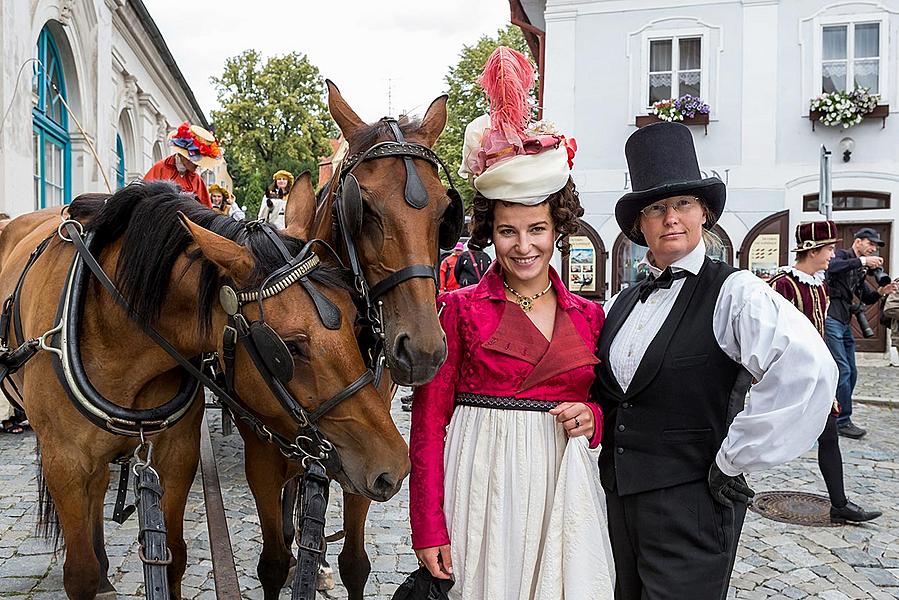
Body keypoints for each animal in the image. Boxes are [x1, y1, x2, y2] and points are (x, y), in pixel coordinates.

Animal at [0, 183, 408, 600]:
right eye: (290, 348)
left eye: (356, 318)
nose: (395, 466)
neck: (111, 328)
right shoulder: (66, 463)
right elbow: (79, 573)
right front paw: (91, 576)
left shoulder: (177, 455)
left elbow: (174, 556)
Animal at [241, 84, 458, 600]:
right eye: (366, 208)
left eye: (446, 213)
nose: (424, 351)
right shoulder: (263, 455)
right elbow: (272, 563)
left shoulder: (370, 452)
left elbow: (355, 564)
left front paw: (323, 562)